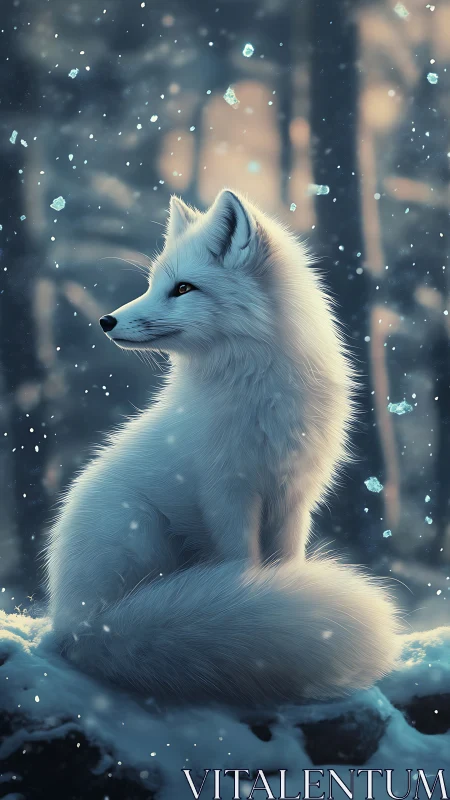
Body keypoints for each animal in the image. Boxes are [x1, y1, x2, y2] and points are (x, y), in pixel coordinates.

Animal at [45, 189, 401, 705]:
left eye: (183, 288)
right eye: (153, 284)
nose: (105, 320)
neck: (260, 395)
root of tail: (74, 627)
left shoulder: (294, 496)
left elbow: (285, 562)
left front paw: (283, 591)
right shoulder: (225, 493)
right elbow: (242, 564)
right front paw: (258, 597)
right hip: (137, 529)